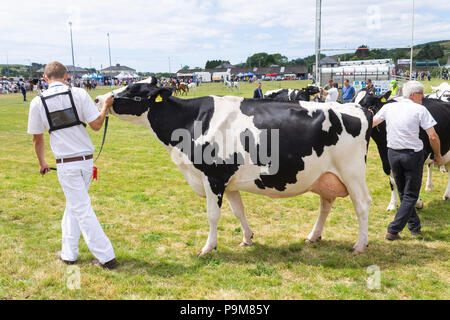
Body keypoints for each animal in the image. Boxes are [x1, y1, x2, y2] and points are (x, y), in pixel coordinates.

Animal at [96, 77, 374, 255]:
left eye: (134, 91)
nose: (99, 98)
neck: (190, 121)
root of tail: (357, 107)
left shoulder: (213, 178)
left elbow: (213, 215)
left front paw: (208, 247)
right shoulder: (229, 182)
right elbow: (239, 211)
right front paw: (247, 239)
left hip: (352, 173)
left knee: (362, 205)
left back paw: (360, 245)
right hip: (325, 175)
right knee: (326, 204)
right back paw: (313, 236)